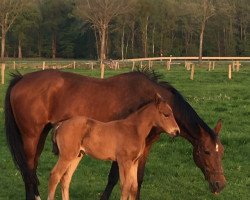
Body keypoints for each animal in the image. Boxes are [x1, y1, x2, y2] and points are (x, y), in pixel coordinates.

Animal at [47, 94, 180, 200]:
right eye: (166, 114)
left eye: (172, 113)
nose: (176, 131)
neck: (134, 129)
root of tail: (61, 124)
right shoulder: (124, 161)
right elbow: (125, 186)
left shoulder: (134, 162)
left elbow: (133, 187)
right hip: (66, 156)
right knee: (55, 175)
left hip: (77, 156)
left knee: (66, 178)